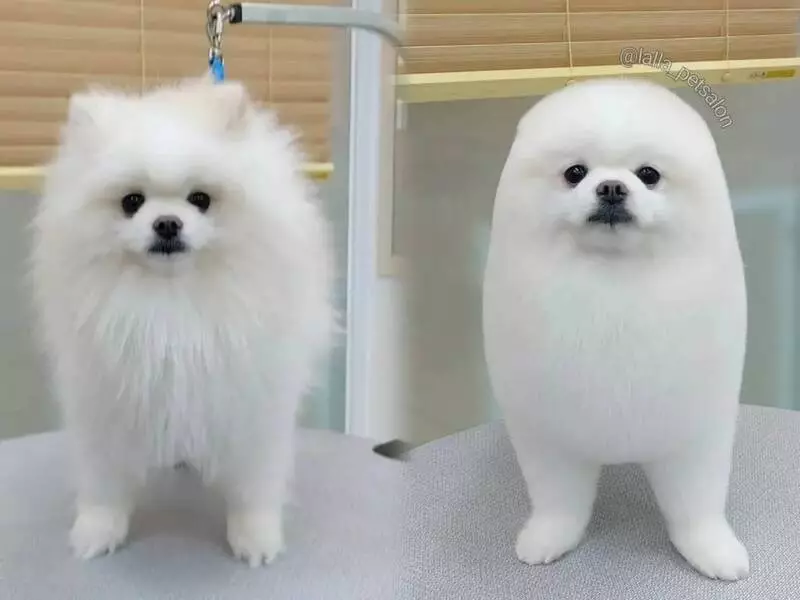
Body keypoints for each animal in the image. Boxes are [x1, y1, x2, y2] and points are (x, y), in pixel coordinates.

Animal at [31, 77, 336, 566]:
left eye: (201, 200)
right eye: (131, 202)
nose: (168, 223)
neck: (172, 302)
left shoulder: (253, 405)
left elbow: (255, 484)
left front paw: (255, 537)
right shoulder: (103, 403)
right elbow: (102, 482)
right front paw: (96, 531)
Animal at [482, 78, 749, 580]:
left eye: (648, 174)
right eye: (574, 172)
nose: (610, 187)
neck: (612, 280)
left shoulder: (693, 431)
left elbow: (696, 504)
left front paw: (712, 550)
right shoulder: (549, 434)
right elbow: (558, 501)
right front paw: (549, 537)